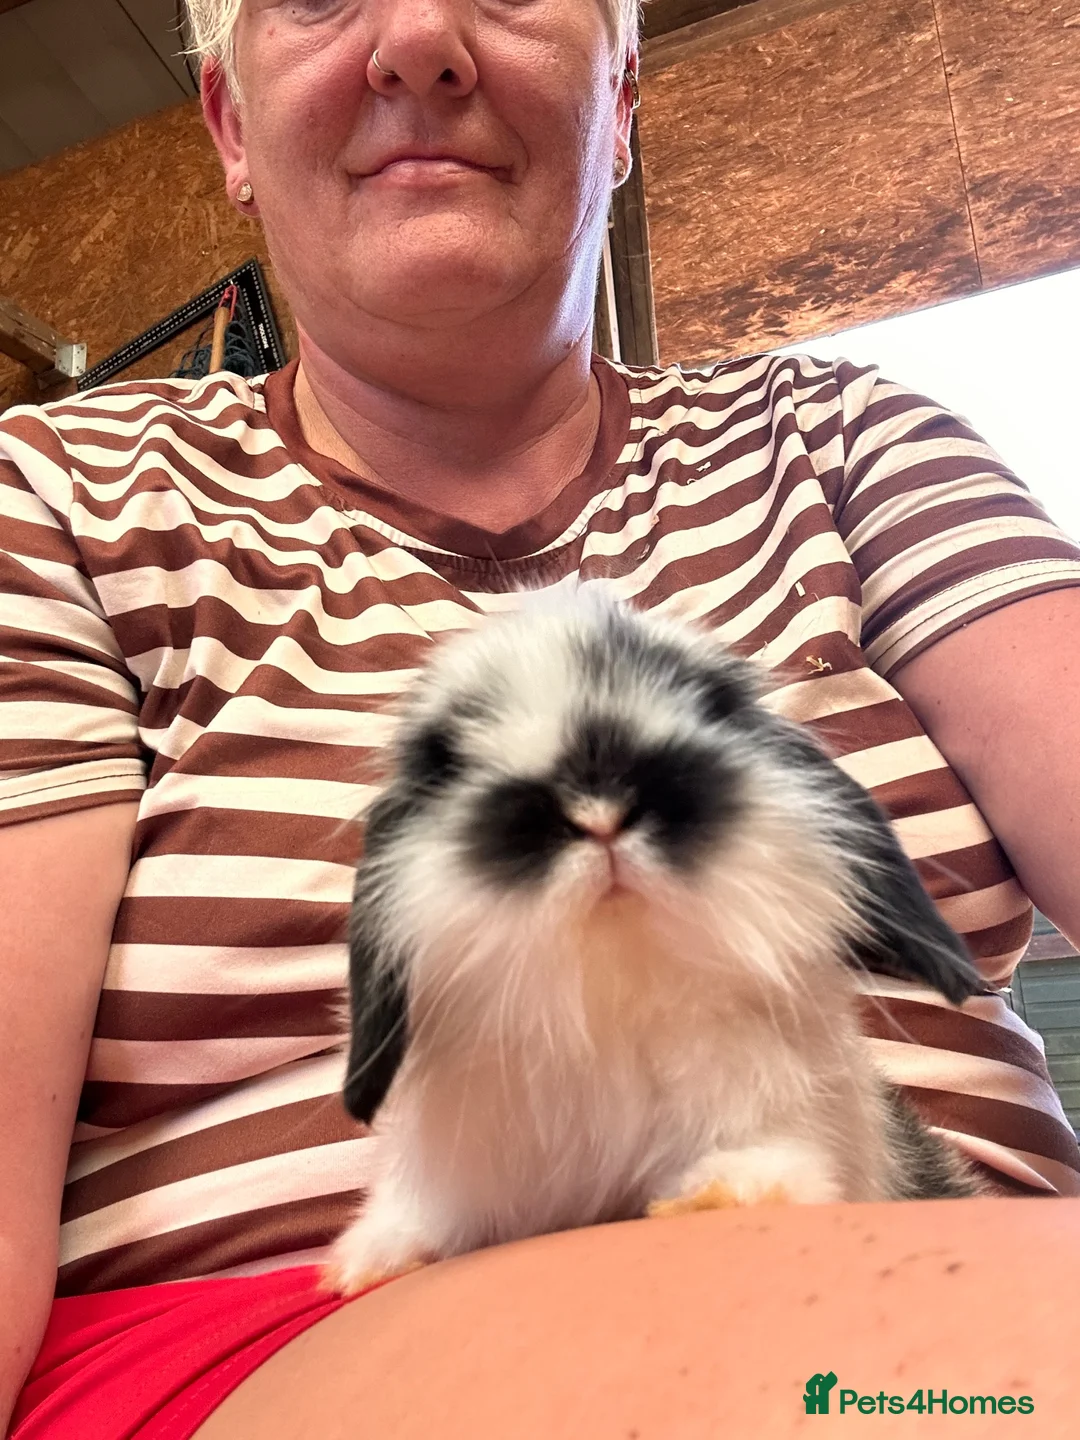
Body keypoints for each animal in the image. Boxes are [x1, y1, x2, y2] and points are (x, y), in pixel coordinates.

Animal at [325, 588, 985, 1296]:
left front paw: (719, 1194)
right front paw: (377, 1258)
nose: (598, 809)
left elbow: (781, 1165)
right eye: (443, 761)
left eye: (714, 703)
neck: (614, 987)